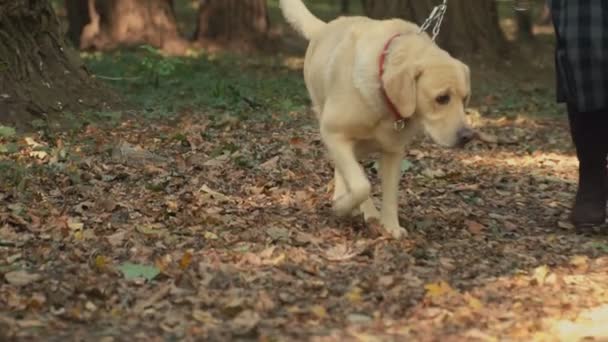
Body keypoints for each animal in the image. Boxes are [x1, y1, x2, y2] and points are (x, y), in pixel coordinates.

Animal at [280, 0, 476, 238]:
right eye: (442, 98)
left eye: (465, 99)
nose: (468, 136)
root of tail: (325, 28)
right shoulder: (333, 133)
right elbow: (362, 186)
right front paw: (342, 207)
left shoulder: (394, 152)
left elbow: (389, 194)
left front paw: (391, 226)